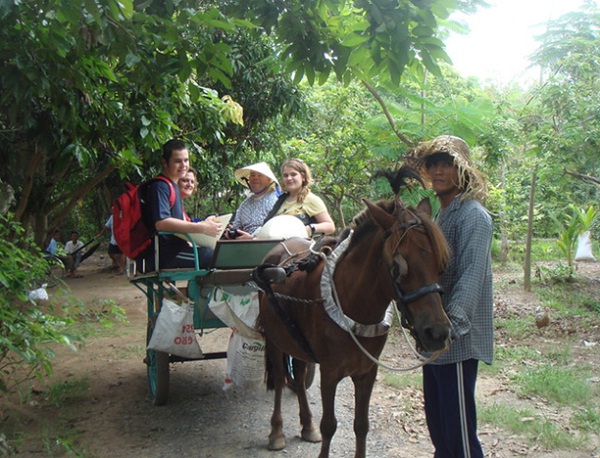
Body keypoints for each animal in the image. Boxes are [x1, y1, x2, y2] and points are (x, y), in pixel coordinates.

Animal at [253, 168, 454, 458]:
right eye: (398, 267)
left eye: (441, 263)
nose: (437, 332)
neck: (355, 305)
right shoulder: (329, 372)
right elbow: (329, 425)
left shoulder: (367, 372)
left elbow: (361, 425)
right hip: (275, 338)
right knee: (280, 379)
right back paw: (277, 431)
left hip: (297, 342)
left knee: (299, 376)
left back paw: (306, 425)